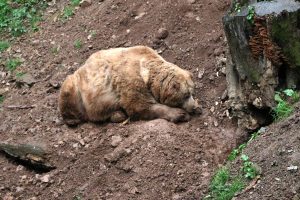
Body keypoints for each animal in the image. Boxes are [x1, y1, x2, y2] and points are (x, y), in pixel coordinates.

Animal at [58, 46, 200, 126]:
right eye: (185, 95)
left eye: (191, 92)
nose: (193, 107)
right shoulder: (130, 79)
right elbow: (141, 106)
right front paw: (180, 114)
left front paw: (197, 107)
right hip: (78, 88)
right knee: (67, 92)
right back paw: (73, 120)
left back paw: (117, 114)